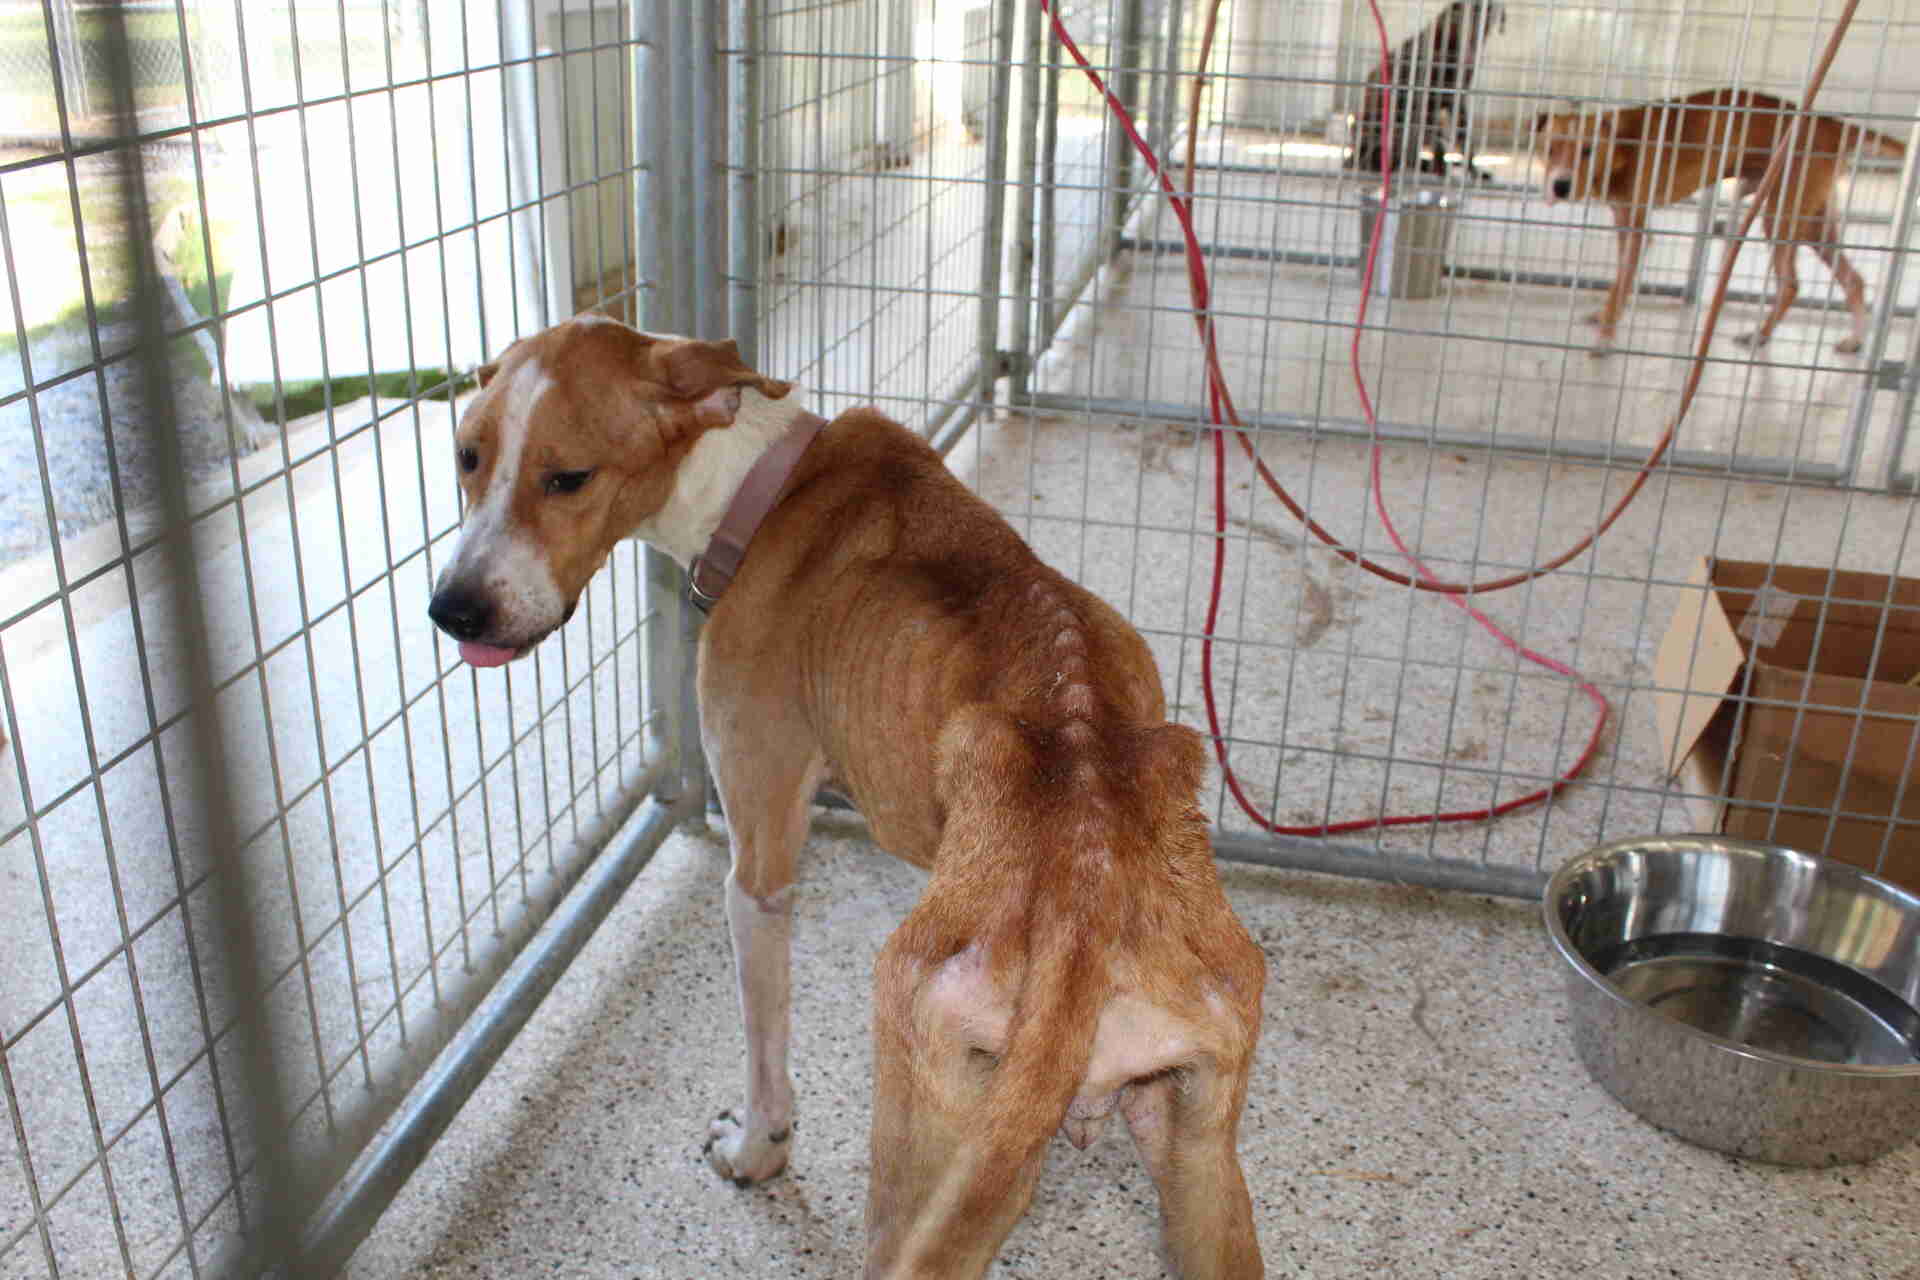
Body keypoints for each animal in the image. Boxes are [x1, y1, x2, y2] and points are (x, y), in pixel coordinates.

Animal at [427, 317, 1268, 1279]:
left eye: (569, 477)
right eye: (466, 457)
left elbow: (766, 1047)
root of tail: (1082, 932)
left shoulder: (757, 870)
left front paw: (757, 1150)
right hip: (1197, 1160)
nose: (452, 612)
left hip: (921, 1154)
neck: (760, 482)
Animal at [1535, 88, 1905, 354]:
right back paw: (1854, 341)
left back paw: (1759, 336)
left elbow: (1620, 283)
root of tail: (1831, 123)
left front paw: (1604, 339)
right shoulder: (1624, 222)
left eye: (1587, 150)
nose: (1561, 186)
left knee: (1791, 284)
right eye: (1549, 149)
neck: (1623, 147)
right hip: (1814, 222)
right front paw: (1605, 317)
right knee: (1853, 280)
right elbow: (1621, 283)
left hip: (1780, 218)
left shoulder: (1638, 230)